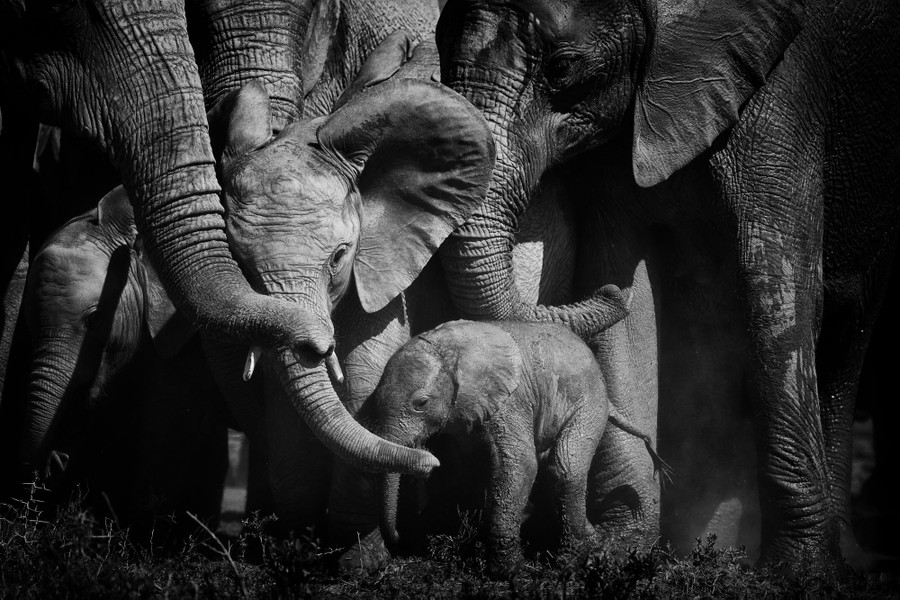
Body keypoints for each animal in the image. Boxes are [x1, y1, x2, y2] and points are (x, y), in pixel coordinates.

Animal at [434, 0, 900, 574]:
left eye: (562, 68)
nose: (606, 298)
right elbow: (624, 303)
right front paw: (618, 552)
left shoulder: (784, 98)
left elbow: (776, 291)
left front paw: (797, 575)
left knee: (845, 335)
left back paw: (847, 562)